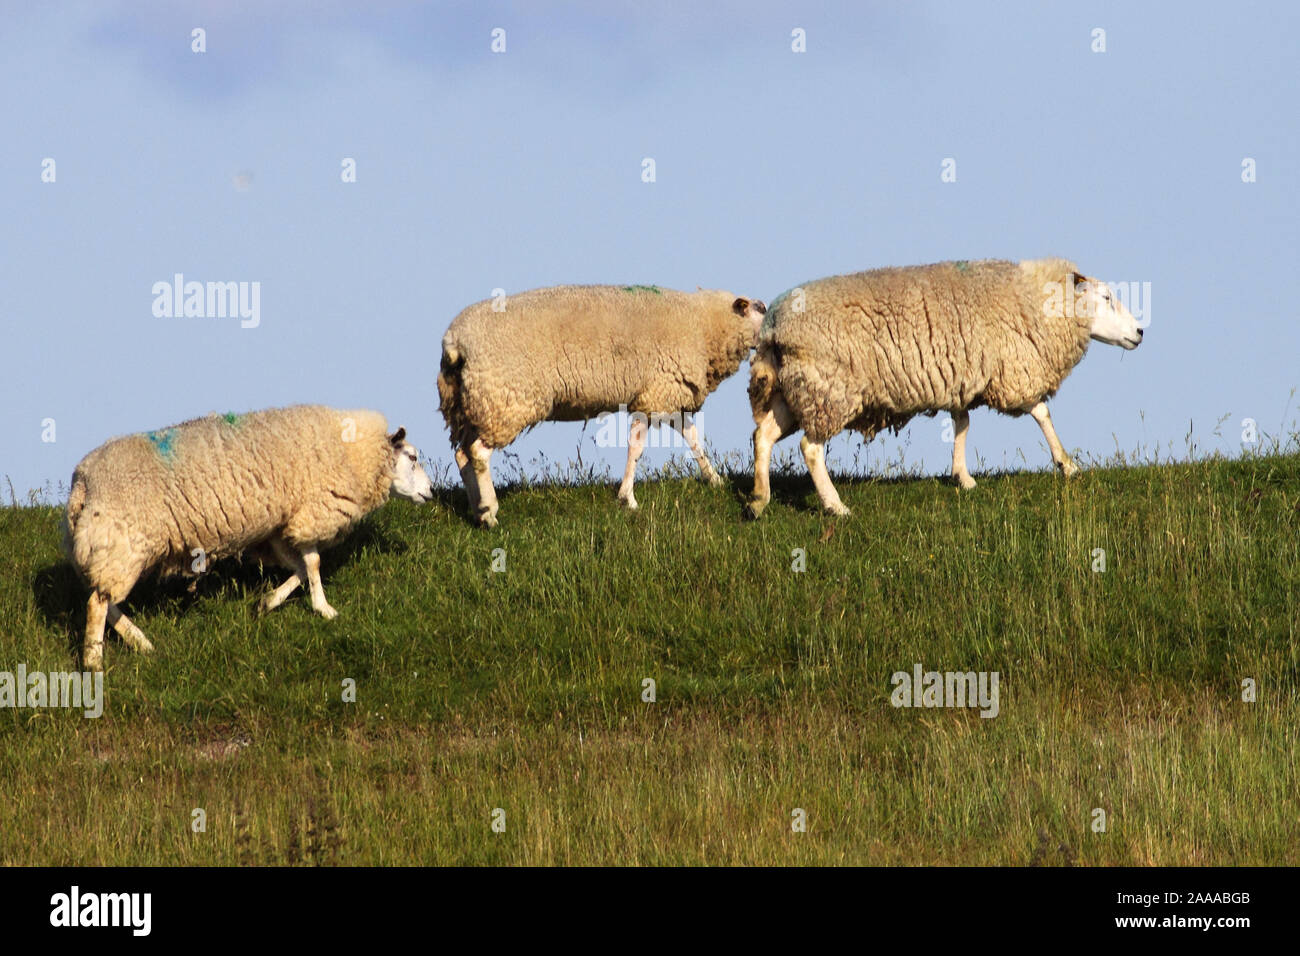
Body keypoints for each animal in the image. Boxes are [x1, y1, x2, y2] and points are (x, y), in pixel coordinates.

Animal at [61, 408, 434, 671]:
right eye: (413, 457)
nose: (431, 492)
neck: (352, 454)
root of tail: (82, 482)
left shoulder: (280, 527)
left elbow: (300, 568)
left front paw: (267, 602)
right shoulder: (310, 511)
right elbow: (314, 563)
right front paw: (325, 609)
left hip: (110, 548)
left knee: (103, 597)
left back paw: (140, 643)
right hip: (120, 542)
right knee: (98, 603)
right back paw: (94, 661)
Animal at [439, 283, 759, 528]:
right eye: (763, 311)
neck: (703, 324)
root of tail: (455, 341)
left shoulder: (667, 394)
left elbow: (693, 438)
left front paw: (715, 479)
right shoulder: (654, 394)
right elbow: (636, 448)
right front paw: (628, 498)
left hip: (470, 406)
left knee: (462, 455)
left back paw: (478, 510)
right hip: (505, 400)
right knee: (479, 454)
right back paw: (490, 512)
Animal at [748, 257, 1144, 520]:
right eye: (1106, 298)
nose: (1140, 332)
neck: (1036, 301)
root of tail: (773, 325)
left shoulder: (962, 375)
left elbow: (962, 424)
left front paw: (962, 477)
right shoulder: (1013, 371)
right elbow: (1042, 412)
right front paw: (1067, 465)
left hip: (794, 390)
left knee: (763, 435)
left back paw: (758, 500)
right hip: (828, 389)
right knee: (810, 448)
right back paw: (836, 506)